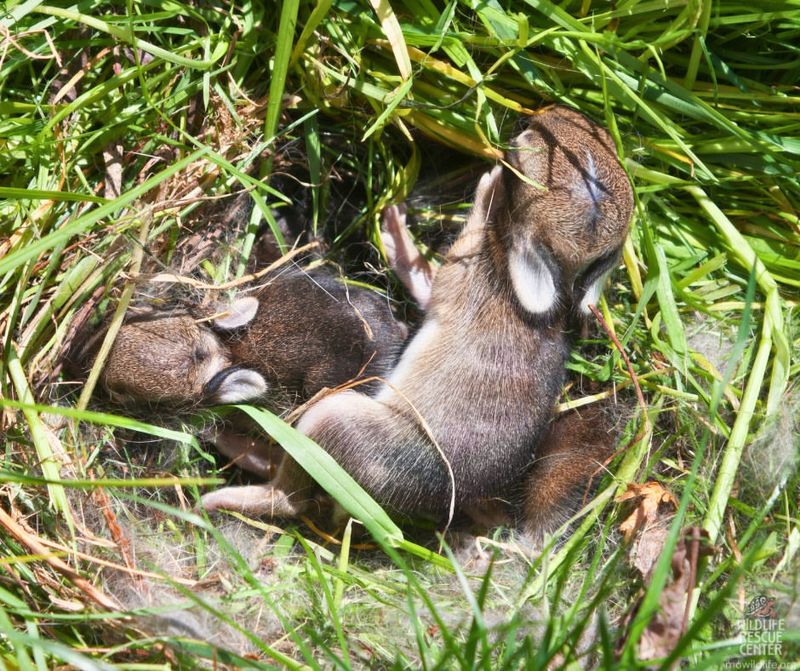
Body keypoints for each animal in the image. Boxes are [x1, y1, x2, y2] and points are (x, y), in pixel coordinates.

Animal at [198, 106, 634, 522]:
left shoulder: (456, 282)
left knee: (295, 497)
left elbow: (438, 268)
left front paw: (484, 188)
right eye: (602, 143)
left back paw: (227, 470)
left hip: (334, 419)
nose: (544, 116)